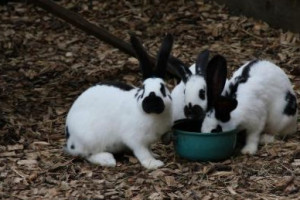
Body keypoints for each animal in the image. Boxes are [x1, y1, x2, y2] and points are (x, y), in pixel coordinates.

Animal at [65, 34, 173, 169]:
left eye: (163, 89)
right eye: (143, 89)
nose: (152, 102)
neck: (153, 116)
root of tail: (69, 138)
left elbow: (148, 149)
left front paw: (155, 155)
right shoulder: (135, 139)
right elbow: (142, 152)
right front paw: (153, 163)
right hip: (89, 139)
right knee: (88, 155)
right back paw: (107, 160)